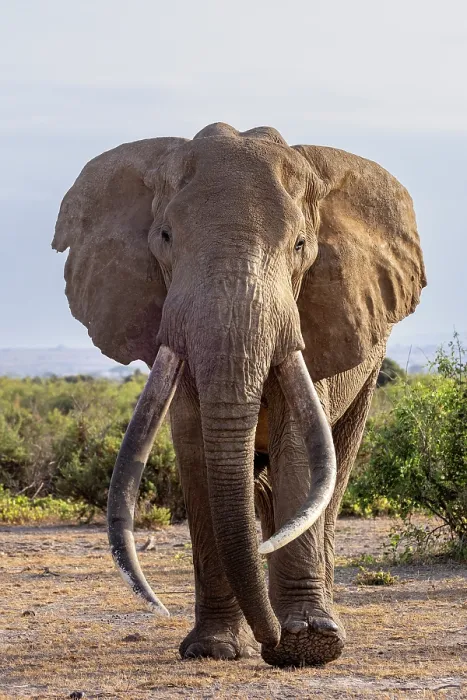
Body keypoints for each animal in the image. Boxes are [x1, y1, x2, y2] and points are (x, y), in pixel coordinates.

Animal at [53, 122, 426, 668]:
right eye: (165, 238)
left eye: (300, 245)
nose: (273, 642)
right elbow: (194, 445)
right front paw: (216, 649)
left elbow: (299, 448)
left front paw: (308, 646)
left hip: (372, 364)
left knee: (334, 470)